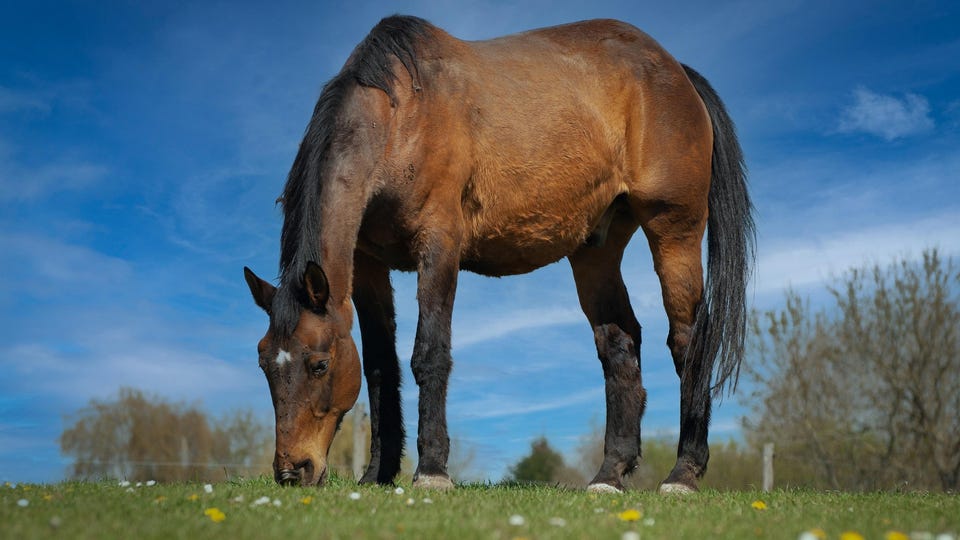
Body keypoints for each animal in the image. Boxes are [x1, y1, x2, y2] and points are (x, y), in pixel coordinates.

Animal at [243, 14, 754, 493]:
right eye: (265, 362)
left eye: (319, 364)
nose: (292, 471)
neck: (401, 116)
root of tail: (676, 71)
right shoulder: (367, 266)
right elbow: (380, 368)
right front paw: (378, 474)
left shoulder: (439, 246)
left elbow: (429, 353)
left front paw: (431, 471)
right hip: (597, 252)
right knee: (620, 347)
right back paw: (610, 474)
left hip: (675, 232)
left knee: (688, 342)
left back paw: (683, 474)